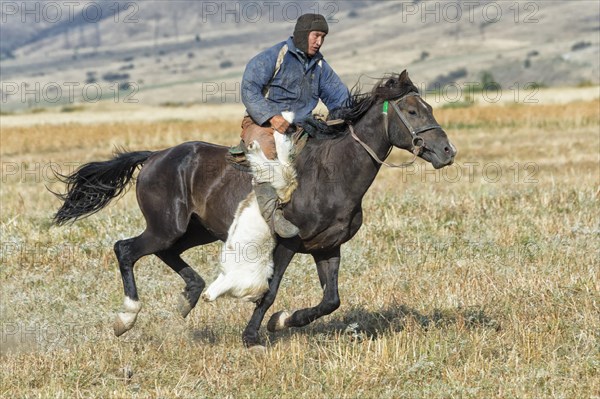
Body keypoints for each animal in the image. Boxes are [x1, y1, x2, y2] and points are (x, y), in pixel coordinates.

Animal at [55, 71, 454, 346]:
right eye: (413, 110)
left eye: (429, 107)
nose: (447, 152)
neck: (332, 171)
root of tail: (155, 157)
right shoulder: (288, 243)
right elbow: (269, 290)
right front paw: (252, 336)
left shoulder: (327, 247)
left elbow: (331, 300)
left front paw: (282, 321)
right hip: (165, 226)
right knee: (125, 249)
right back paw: (127, 317)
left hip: (194, 231)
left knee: (165, 253)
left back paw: (190, 296)